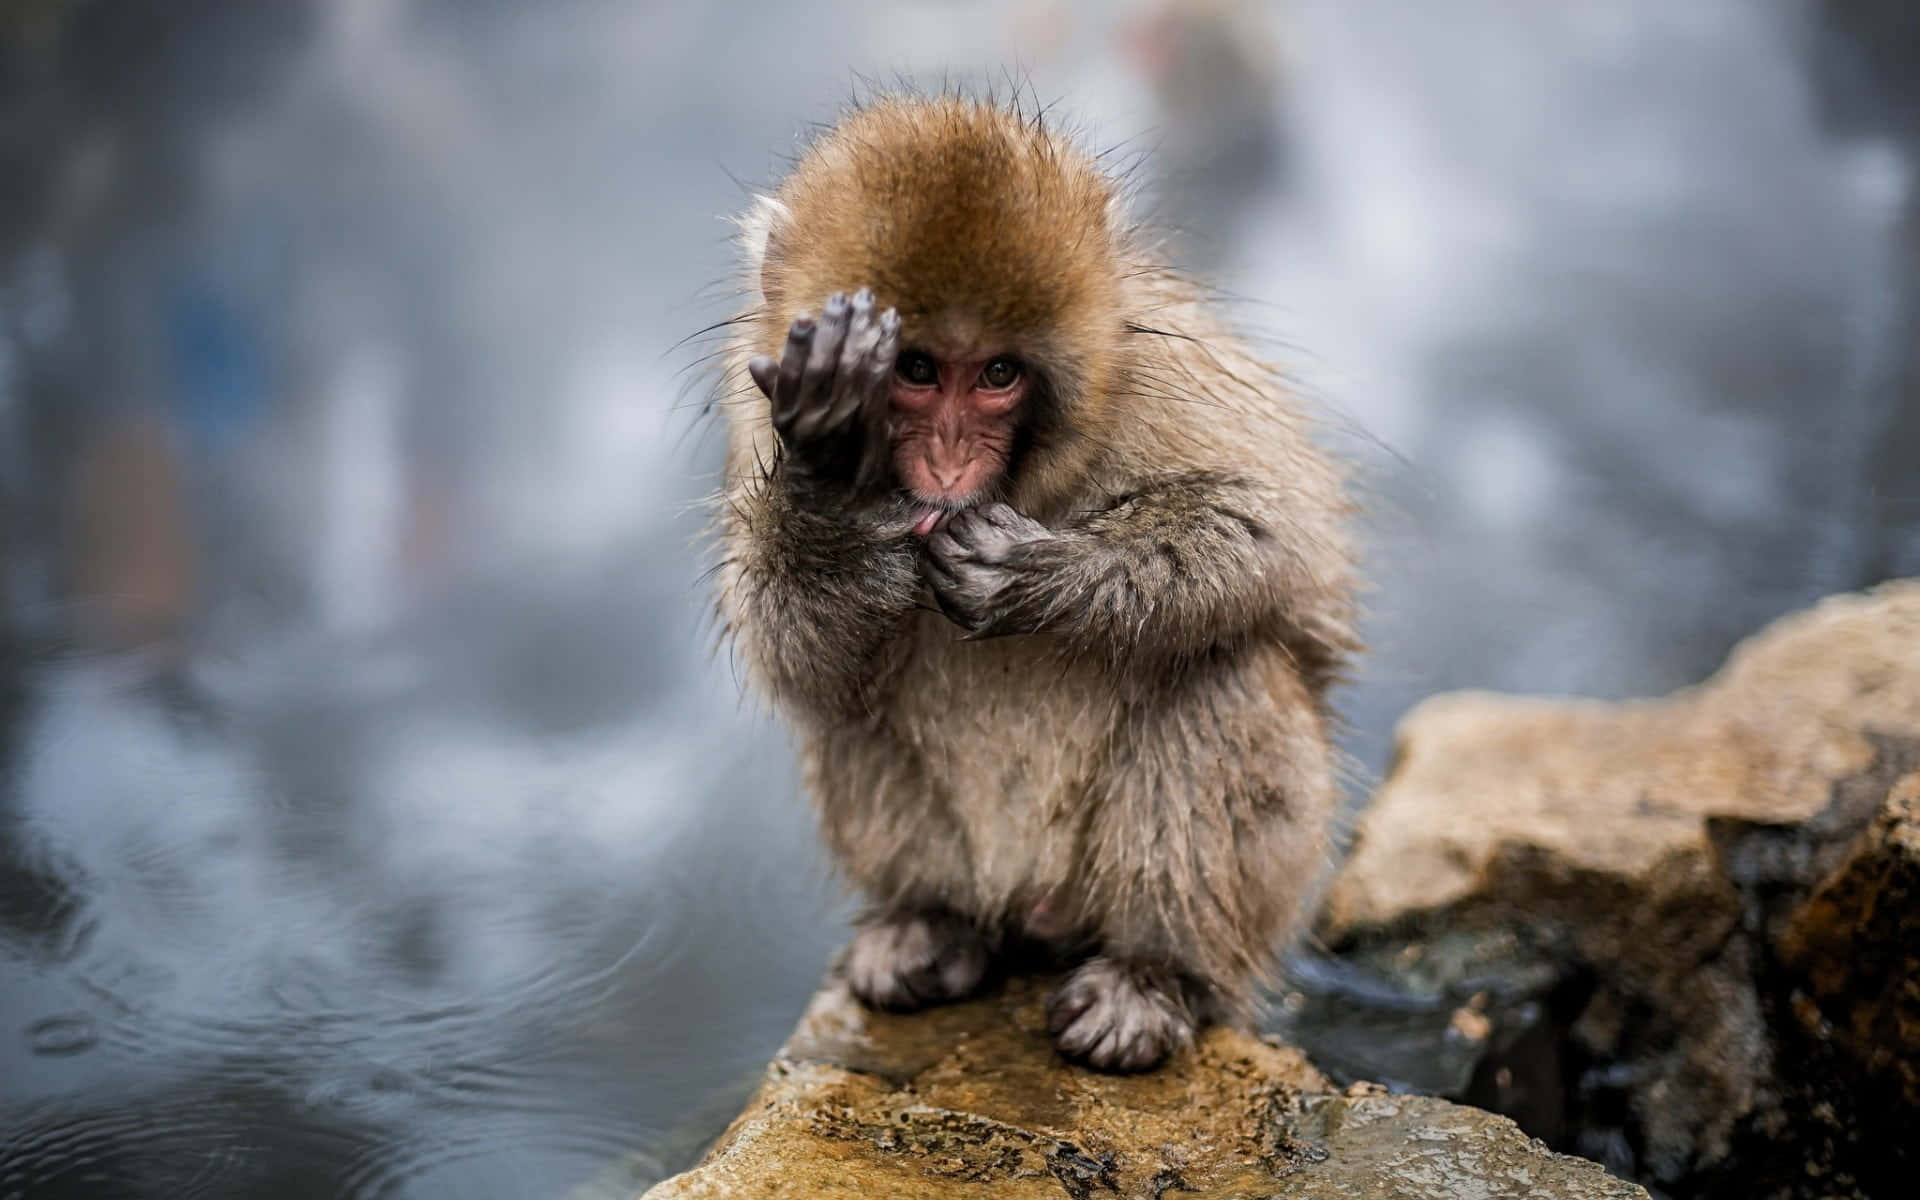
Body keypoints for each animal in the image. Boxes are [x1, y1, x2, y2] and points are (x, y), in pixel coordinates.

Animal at [710, 93, 1357, 1073]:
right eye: (916, 370)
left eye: (999, 375)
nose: (947, 463)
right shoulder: (759, 409)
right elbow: (797, 653)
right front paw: (832, 469)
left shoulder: (1164, 381)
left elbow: (1269, 531)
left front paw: (1033, 575)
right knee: (849, 713)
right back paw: (935, 924)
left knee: (1226, 668)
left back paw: (1154, 975)